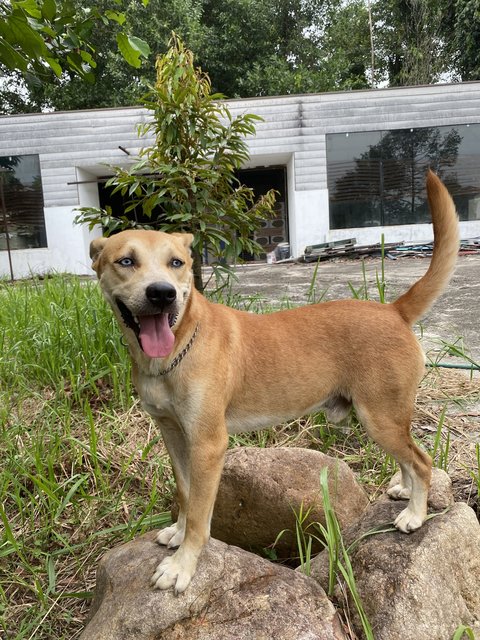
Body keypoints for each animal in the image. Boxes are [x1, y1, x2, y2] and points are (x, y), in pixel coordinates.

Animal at [91, 171, 462, 596]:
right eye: (126, 261)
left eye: (176, 263)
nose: (162, 294)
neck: (177, 349)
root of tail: (393, 310)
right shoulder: (174, 435)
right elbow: (185, 494)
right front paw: (178, 532)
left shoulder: (208, 444)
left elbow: (200, 513)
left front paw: (183, 564)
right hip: (382, 418)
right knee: (407, 456)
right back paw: (404, 490)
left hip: (379, 416)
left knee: (422, 460)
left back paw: (415, 514)